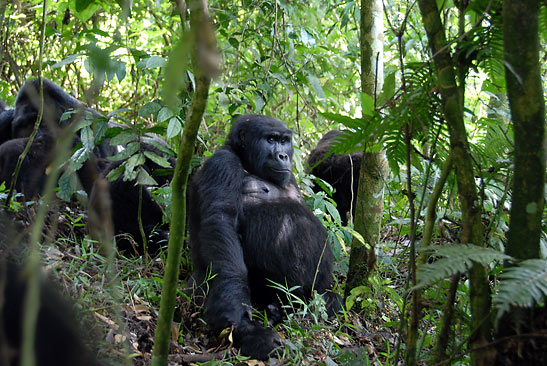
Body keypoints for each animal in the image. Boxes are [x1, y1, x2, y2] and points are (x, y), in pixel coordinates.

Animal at [188, 115, 342, 360]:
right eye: (270, 140)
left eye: (284, 141)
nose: (284, 156)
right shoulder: (222, 164)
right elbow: (221, 222)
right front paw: (243, 327)